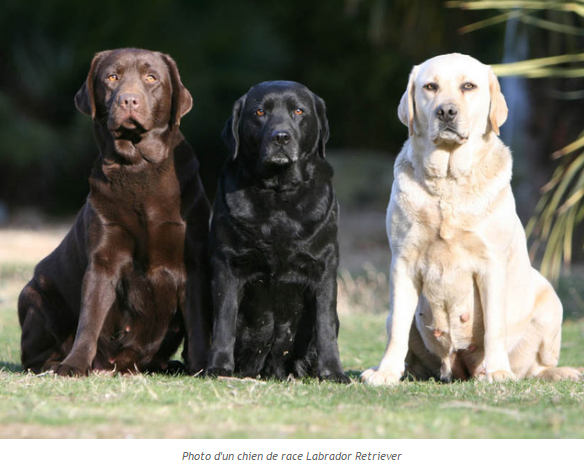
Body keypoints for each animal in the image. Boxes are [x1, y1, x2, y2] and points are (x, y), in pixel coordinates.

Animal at [18, 48, 212, 374]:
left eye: (151, 78)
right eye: (112, 77)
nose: (128, 100)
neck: (137, 168)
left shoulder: (193, 262)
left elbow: (198, 326)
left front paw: (201, 367)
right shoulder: (104, 259)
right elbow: (90, 318)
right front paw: (74, 365)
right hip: (35, 296)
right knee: (32, 355)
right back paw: (58, 364)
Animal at [205, 80, 350, 380]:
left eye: (298, 111)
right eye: (260, 112)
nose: (280, 137)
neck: (278, 193)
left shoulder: (324, 265)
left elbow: (325, 325)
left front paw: (332, 372)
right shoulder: (227, 263)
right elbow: (224, 320)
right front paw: (218, 366)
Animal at [362, 52, 580, 384]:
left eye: (468, 86)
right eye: (430, 86)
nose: (446, 111)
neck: (449, 182)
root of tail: (461, 370)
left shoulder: (491, 263)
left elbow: (494, 326)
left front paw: (498, 371)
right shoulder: (403, 262)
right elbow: (398, 327)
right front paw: (385, 372)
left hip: (550, 301)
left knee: (536, 366)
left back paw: (558, 372)